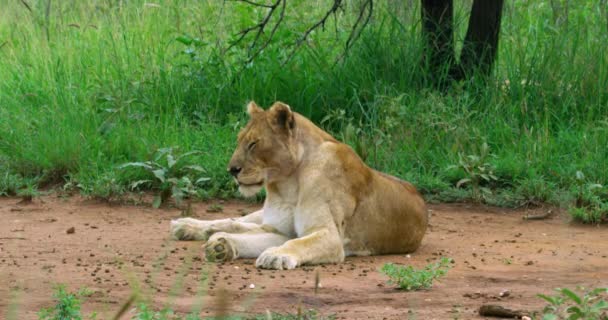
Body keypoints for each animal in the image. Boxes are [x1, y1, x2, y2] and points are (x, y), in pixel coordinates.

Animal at [171, 101, 428, 268]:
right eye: (239, 141)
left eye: (253, 144)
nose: (232, 170)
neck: (287, 184)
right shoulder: (280, 229)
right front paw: (221, 245)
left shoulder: (327, 236)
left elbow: (296, 243)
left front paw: (272, 255)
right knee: (234, 221)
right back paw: (187, 226)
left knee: (242, 226)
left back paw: (216, 237)